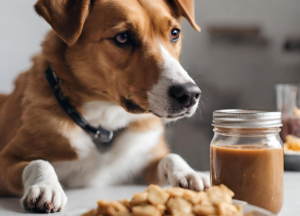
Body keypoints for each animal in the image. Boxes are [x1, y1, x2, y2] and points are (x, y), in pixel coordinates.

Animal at [0, 0, 210, 213]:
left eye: (174, 33)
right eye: (123, 37)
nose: (190, 94)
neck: (104, 122)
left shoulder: (146, 163)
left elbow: (171, 156)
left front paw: (188, 172)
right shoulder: (5, 160)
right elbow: (38, 162)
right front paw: (46, 185)